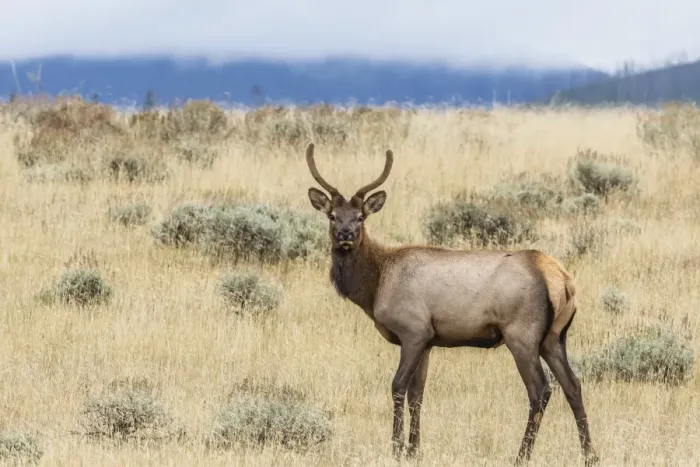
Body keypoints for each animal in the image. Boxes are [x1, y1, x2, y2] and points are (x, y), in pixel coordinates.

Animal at [303, 142, 599, 466]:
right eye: (332, 215)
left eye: (360, 217)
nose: (345, 235)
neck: (375, 285)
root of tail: (561, 279)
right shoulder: (428, 340)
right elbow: (417, 393)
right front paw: (414, 449)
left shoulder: (413, 330)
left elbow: (398, 386)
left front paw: (396, 447)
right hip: (554, 337)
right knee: (573, 385)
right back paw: (589, 454)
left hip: (522, 333)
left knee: (540, 389)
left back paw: (521, 455)